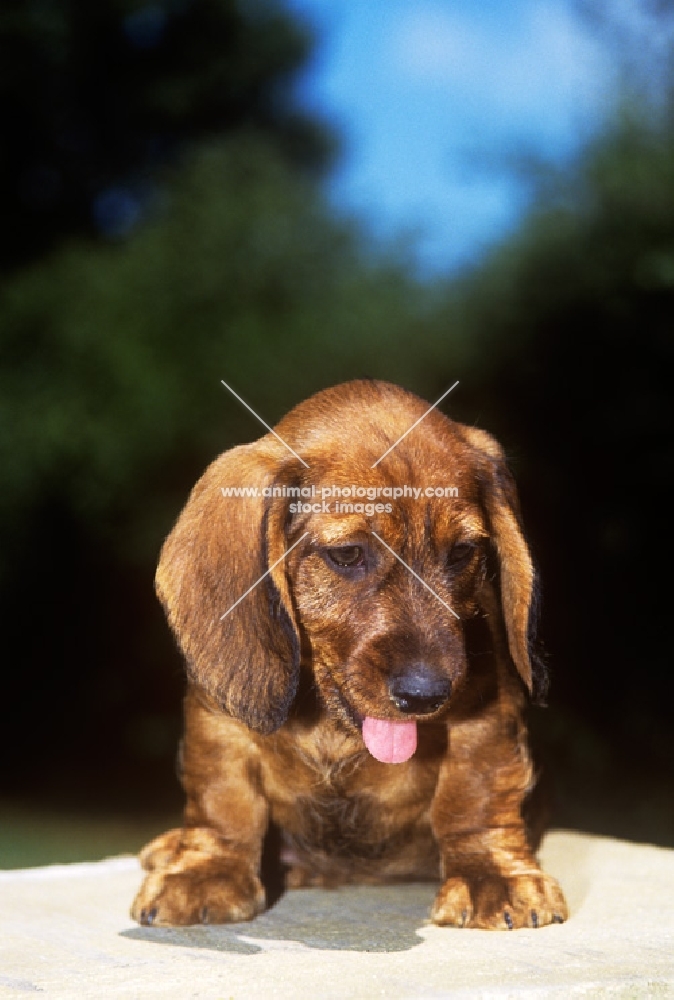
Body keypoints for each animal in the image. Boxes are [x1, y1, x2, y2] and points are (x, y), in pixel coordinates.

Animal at [131, 380, 568, 928]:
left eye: (462, 553)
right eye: (348, 555)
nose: (427, 695)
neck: (333, 724)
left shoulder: (486, 715)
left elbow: (476, 795)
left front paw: (492, 875)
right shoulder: (219, 716)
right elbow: (224, 796)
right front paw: (205, 870)